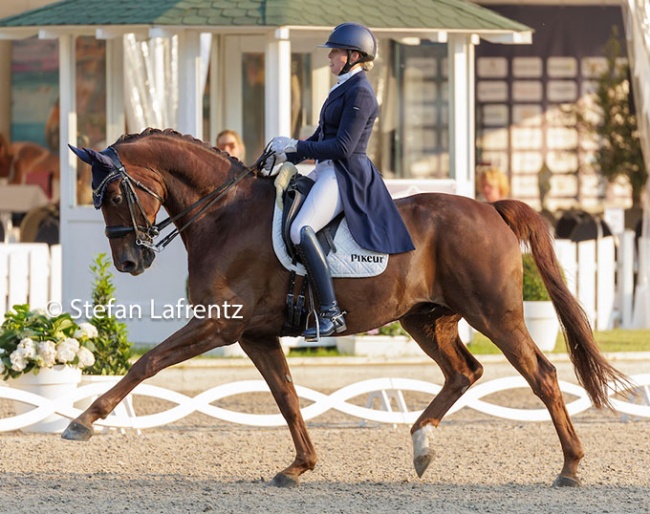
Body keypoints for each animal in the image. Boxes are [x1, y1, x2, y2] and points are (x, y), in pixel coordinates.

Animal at [66, 127, 628, 484]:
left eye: (112, 197)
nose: (130, 261)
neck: (224, 214)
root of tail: (489, 208)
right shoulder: (255, 334)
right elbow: (287, 397)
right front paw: (299, 467)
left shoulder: (218, 326)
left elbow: (146, 363)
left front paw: (85, 421)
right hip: (426, 318)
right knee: (464, 372)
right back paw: (422, 444)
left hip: (495, 314)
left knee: (543, 375)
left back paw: (570, 467)